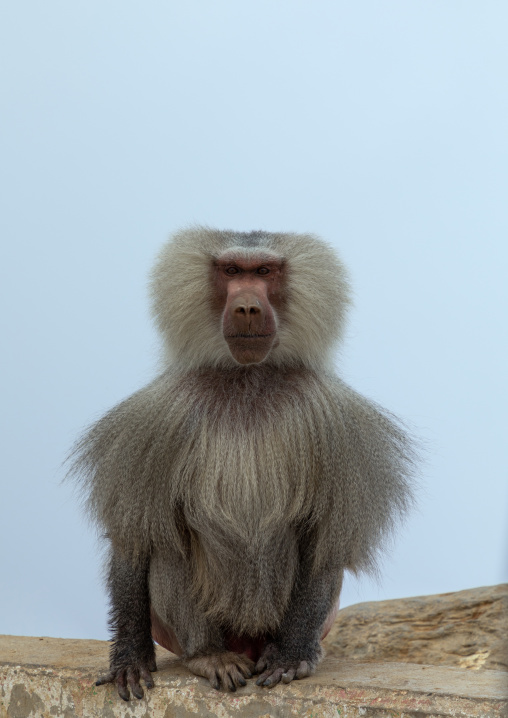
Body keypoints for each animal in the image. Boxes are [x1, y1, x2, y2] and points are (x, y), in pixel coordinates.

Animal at [70, 227, 415, 701]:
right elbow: (134, 537)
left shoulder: (336, 422)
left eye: (265, 272)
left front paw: (291, 657)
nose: (248, 307)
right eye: (232, 271)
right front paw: (130, 657)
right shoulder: (155, 418)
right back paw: (207, 655)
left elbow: (326, 539)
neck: (246, 378)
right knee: (168, 547)